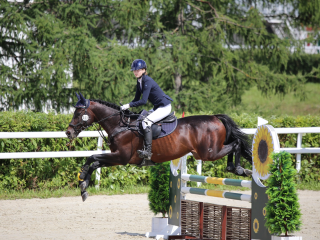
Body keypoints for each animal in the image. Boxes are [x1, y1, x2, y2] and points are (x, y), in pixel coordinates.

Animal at [65, 93, 252, 202]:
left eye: (78, 113)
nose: (68, 132)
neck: (120, 125)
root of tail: (215, 117)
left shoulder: (121, 157)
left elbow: (92, 157)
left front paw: (82, 180)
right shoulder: (117, 158)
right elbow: (95, 162)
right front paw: (84, 186)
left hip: (209, 153)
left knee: (236, 144)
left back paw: (239, 169)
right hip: (207, 152)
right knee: (234, 145)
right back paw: (236, 169)